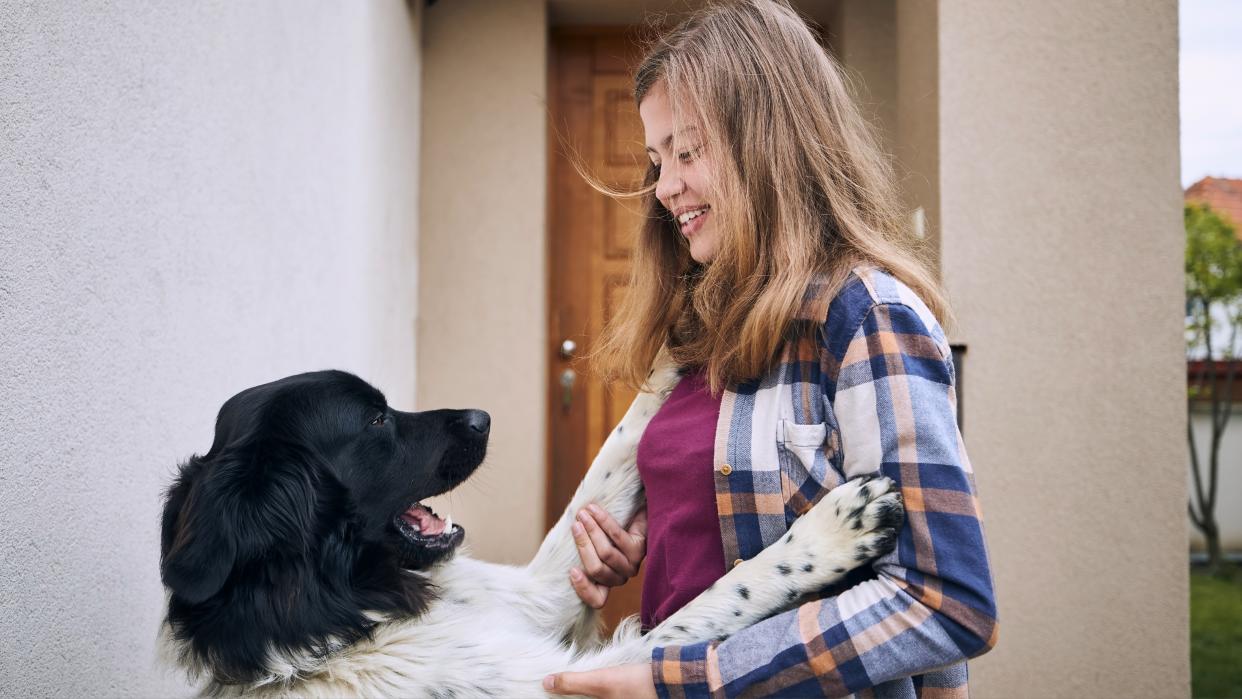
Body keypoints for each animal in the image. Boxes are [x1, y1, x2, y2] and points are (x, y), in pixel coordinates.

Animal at [162, 357, 904, 695]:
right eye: (375, 419)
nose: (483, 417)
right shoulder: (571, 678)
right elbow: (717, 600)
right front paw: (833, 532)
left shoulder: (533, 596)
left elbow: (611, 458)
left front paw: (678, 337)